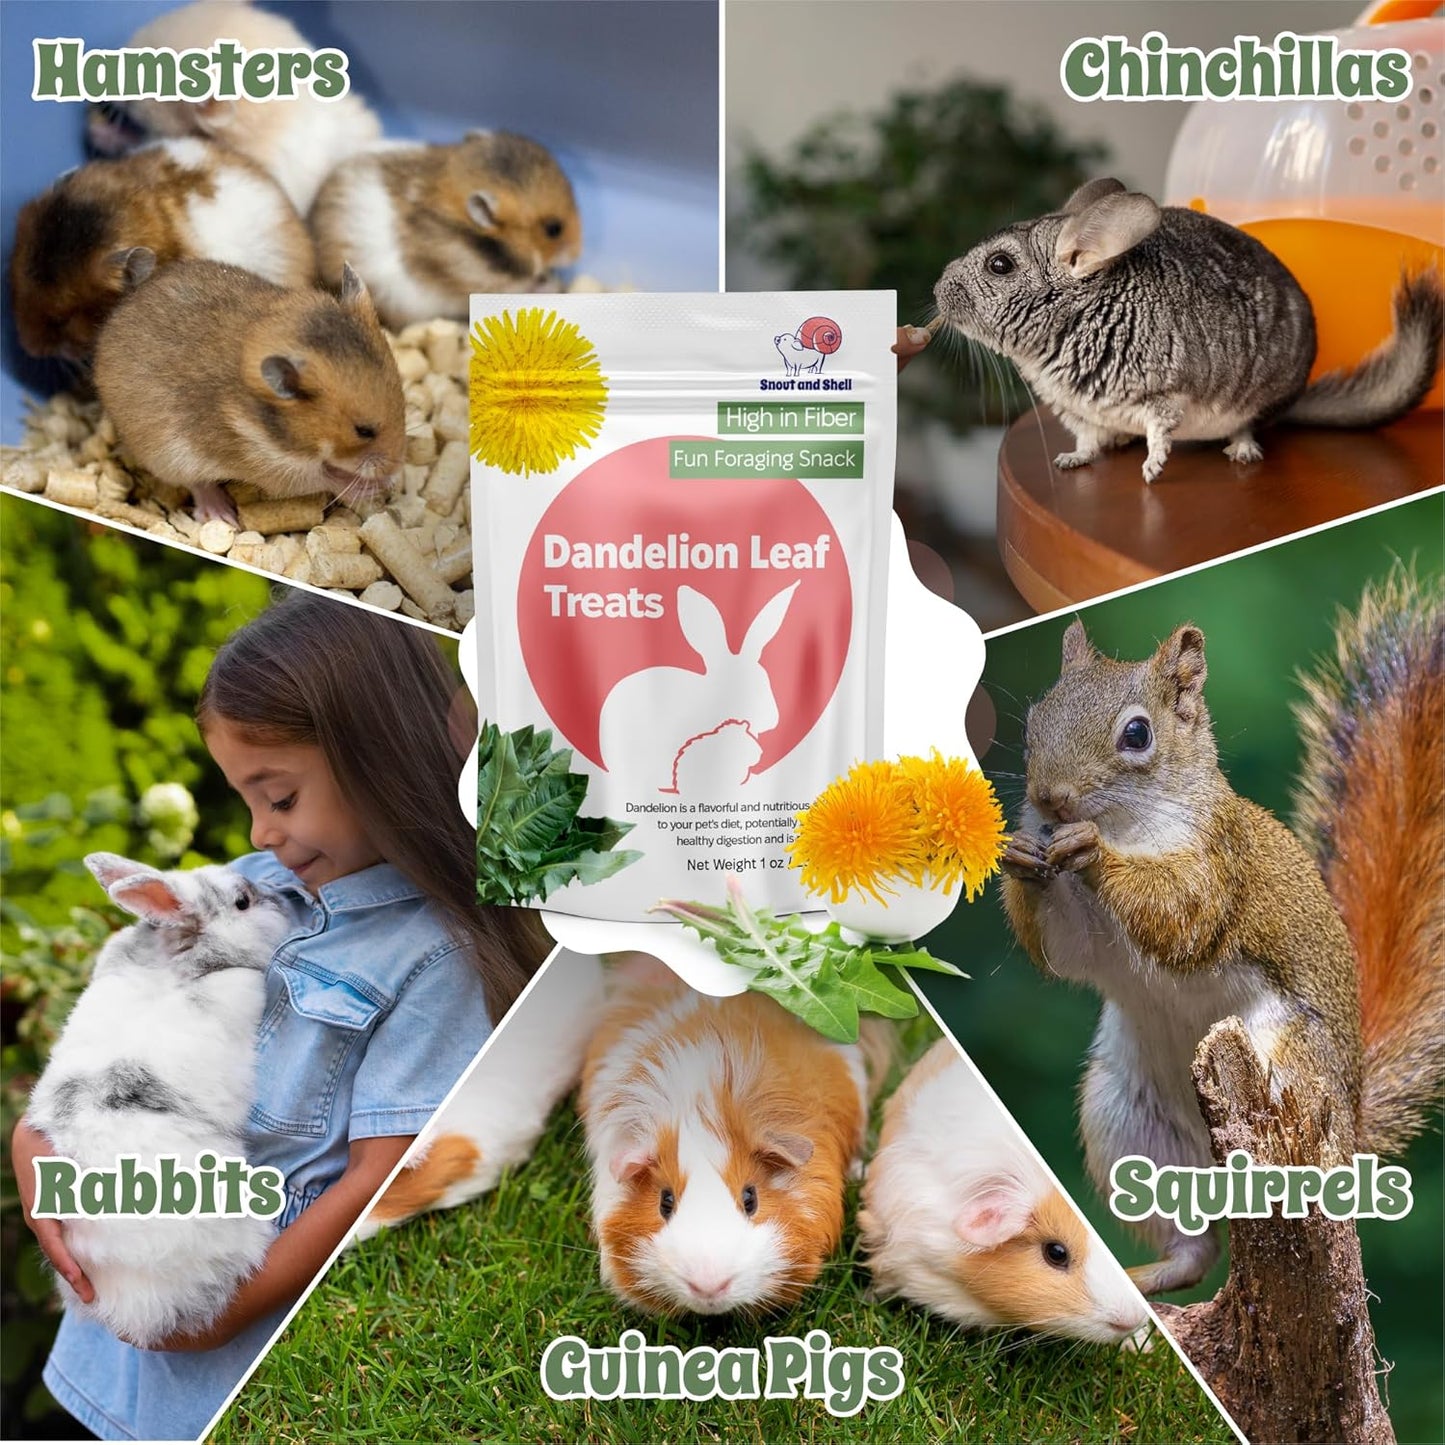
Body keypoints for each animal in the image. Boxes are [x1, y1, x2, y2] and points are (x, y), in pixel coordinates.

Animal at [933, 176, 1443, 483]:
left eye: (1000, 265)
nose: (937, 289)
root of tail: (1295, 397)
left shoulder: (1167, 390)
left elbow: (1160, 429)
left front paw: (1152, 470)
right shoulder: (1076, 412)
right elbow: (1087, 441)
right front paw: (1071, 461)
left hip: (1258, 395)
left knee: (1246, 425)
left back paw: (1242, 451)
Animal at [1000, 567, 1444, 1296]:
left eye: (1136, 734)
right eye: (1036, 718)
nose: (1049, 800)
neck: (1132, 823)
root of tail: (1351, 1119)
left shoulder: (1217, 864)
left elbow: (1181, 913)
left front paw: (1093, 853)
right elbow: (1067, 950)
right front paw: (1023, 857)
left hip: (1288, 1068)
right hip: (1128, 1118)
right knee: (1193, 1247)